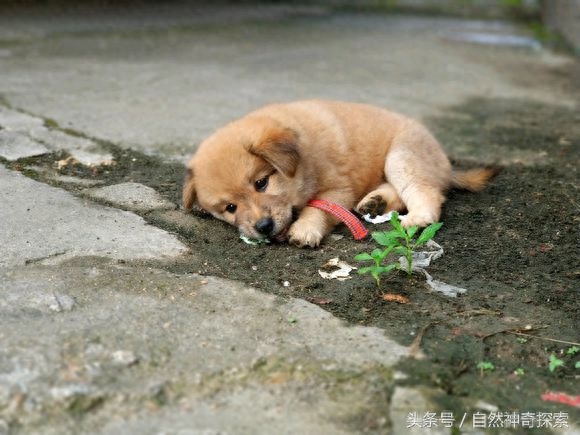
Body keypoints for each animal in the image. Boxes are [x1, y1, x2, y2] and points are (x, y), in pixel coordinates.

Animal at [182, 100, 498, 247]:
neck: (304, 156)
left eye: (261, 183)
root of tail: (445, 164)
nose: (263, 227)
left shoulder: (338, 190)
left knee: (426, 193)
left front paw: (306, 229)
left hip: (402, 155)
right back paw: (376, 202)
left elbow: (319, 209)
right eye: (230, 208)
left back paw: (415, 219)